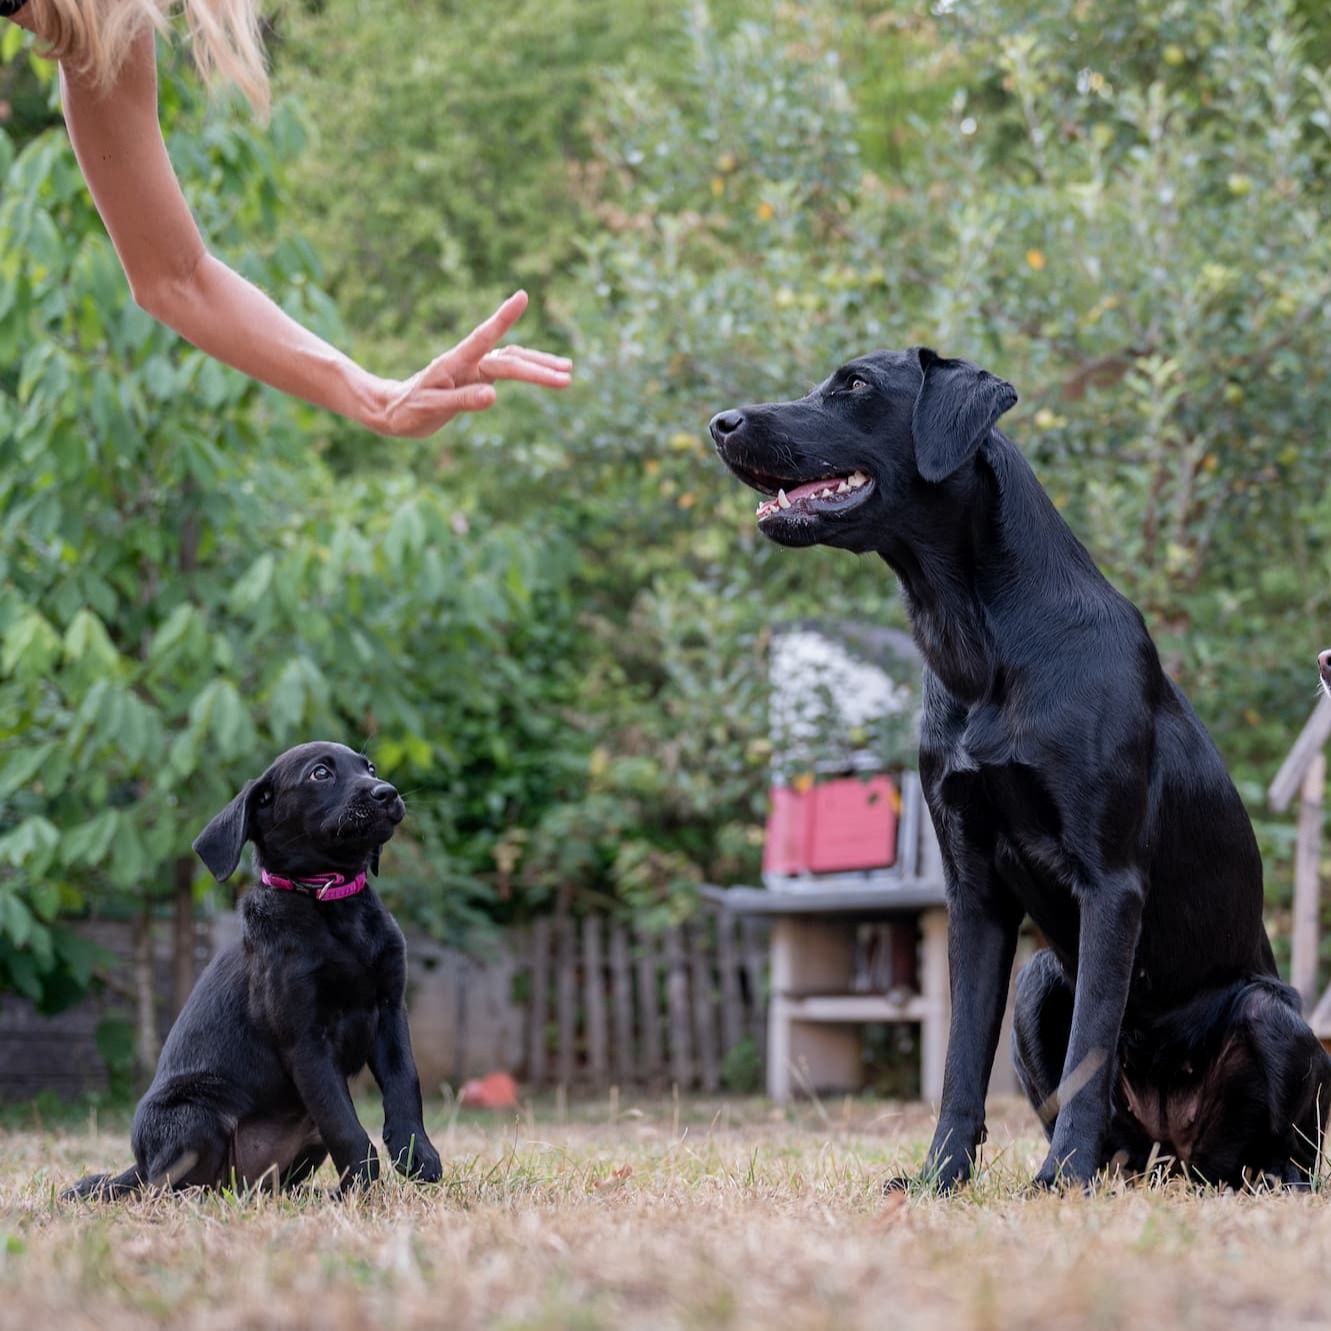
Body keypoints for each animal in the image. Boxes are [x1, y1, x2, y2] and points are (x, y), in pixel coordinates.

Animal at [66, 745, 441, 1203]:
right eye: (320, 773)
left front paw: (419, 1159)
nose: (386, 792)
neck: (330, 902)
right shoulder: (306, 1040)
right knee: (167, 1188)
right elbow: (345, 1126)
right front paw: (362, 1189)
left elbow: (405, 1088)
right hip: (194, 1114)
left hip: (297, 1142)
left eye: (369, 767)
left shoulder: (389, 1011)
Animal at [713, 348, 1331, 1192]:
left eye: (857, 384)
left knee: (1275, 1147)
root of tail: (1174, 1152)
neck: (981, 642)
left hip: (1272, 1017)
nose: (720, 422)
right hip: (1041, 979)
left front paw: (1059, 1176)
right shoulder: (972, 887)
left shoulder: (1110, 882)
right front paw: (941, 1175)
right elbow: (960, 1059)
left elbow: (1089, 1050)